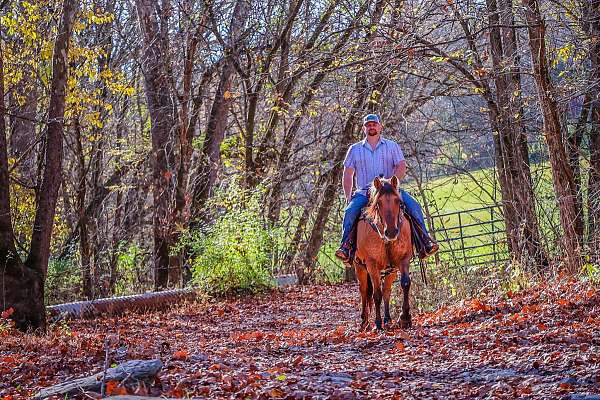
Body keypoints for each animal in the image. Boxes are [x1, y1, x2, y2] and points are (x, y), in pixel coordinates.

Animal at [356, 177, 412, 330]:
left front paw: (405, 318)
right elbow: (376, 294)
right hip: (360, 266)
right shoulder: (372, 265)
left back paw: (387, 319)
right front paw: (377, 323)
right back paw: (364, 322)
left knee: (386, 290)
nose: (391, 232)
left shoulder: (403, 259)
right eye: (378, 203)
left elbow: (405, 284)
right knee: (364, 290)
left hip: (390, 270)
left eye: (398, 201)